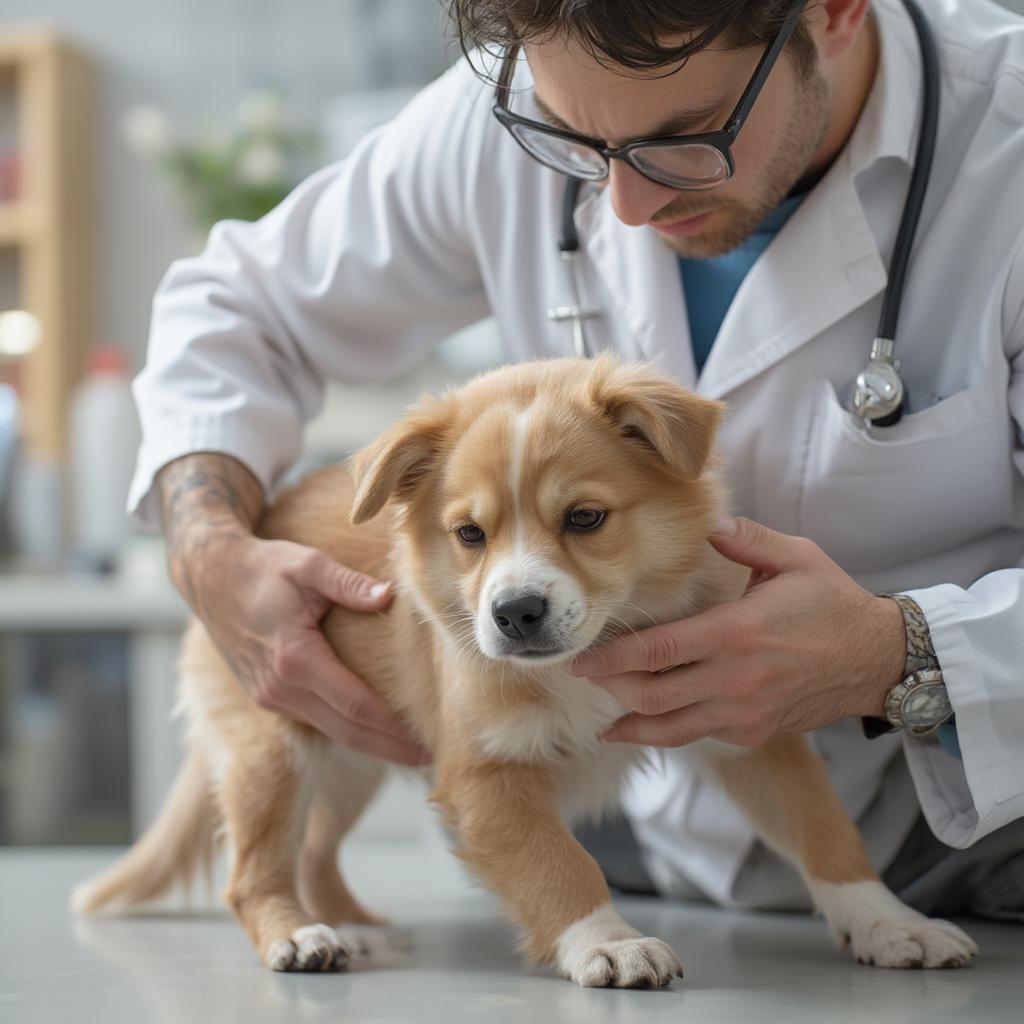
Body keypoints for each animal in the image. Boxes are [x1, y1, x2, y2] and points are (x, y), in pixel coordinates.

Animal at [70, 358, 974, 983]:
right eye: (469, 535)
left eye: (585, 519)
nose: (514, 613)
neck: (588, 655)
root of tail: (260, 516)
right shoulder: (483, 777)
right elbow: (559, 863)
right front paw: (609, 943)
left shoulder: (751, 732)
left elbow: (827, 833)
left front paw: (888, 921)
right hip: (278, 741)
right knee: (253, 870)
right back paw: (296, 933)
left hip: (351, 752)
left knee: (317, 846)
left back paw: (349, 922)